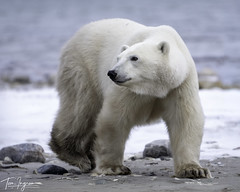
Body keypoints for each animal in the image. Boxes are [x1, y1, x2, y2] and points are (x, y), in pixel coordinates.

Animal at [49, 18, 211, 178]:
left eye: (134, 58)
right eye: (118, 58)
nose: (112, 73)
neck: (156, 88)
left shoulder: (180, 85)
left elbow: (184, 120)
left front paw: (193, 170)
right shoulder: (129, 90)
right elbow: (114, 119)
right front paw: (113, 167)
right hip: (83, 67)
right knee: (81, 110)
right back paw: (76, 156)